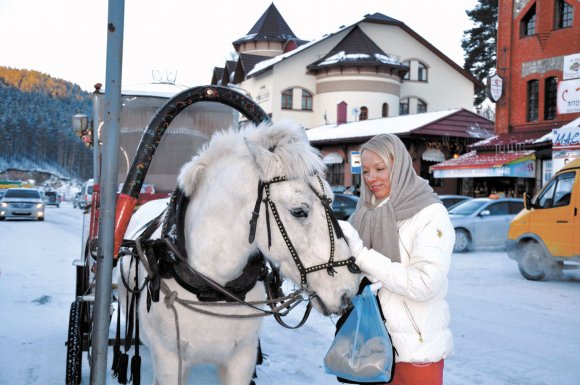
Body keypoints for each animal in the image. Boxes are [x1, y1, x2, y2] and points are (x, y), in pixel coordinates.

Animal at [118, 120, 360, 384]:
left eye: (332, 199)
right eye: (299, 211)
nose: (348, 291)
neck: (213, 287)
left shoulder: (241, 359)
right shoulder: (169, 362)